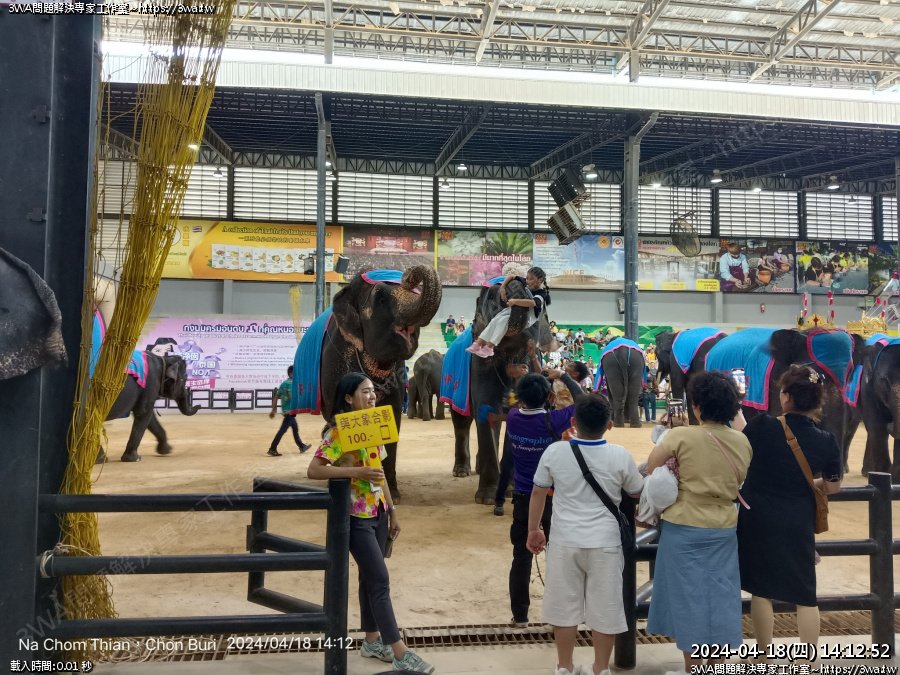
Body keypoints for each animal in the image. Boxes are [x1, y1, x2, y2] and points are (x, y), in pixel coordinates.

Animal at [295, 266, 442, 498]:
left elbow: (392, 417)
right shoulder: (335, 362)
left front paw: (394, 493)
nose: (409, 276)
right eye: (380, 298)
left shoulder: (397, 375)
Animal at [445, 278, 554, 504]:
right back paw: (461, 471)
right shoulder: (480, 367)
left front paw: (510, 491)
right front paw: (487, 498)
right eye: (493, 302)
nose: (517, 280)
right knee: (461, 423)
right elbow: (486, 414)